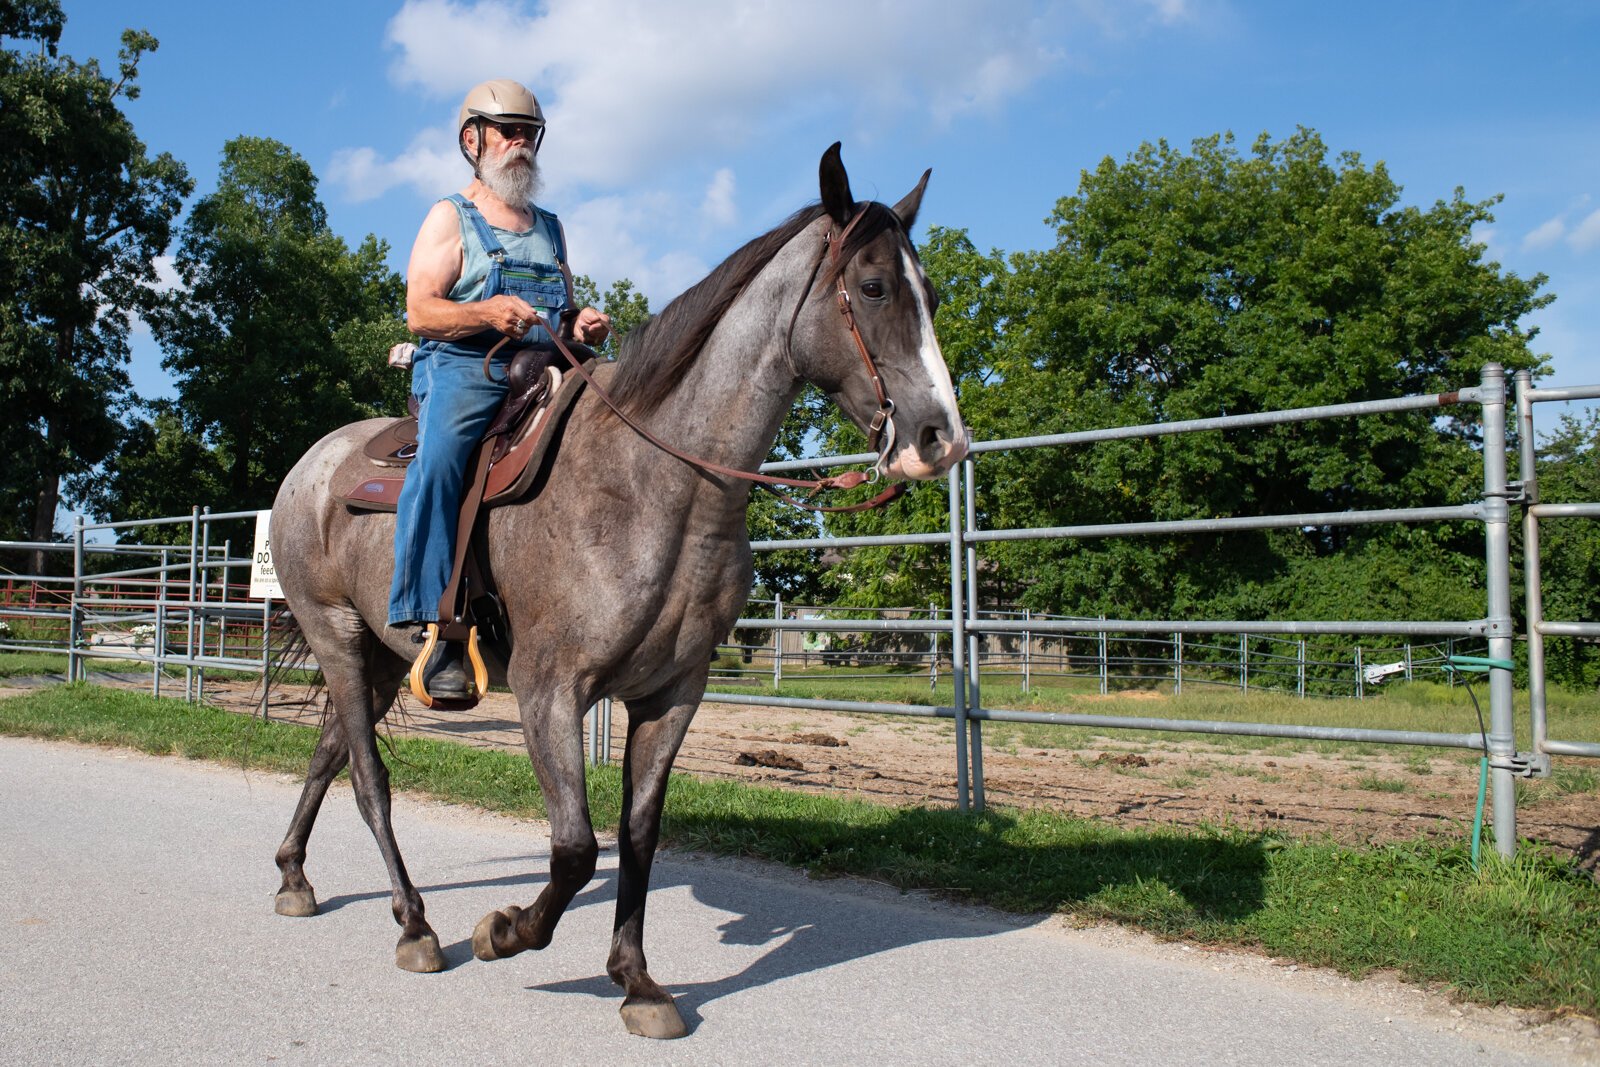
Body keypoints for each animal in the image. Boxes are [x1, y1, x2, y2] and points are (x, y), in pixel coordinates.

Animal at [270, 146, 966, 1036]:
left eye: (932, 295)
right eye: (873, 286)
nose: (940, 437)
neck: (657, 482)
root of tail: (310, 465)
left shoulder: (672, 692)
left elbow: (637, 836)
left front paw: (637, 982)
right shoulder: (549, 689)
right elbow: (574, 846)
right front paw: (504, 931)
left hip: (385, 654)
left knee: (330, 752)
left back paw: (295, 875)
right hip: (336, 635)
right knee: (368, 778)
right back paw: (417, 925)